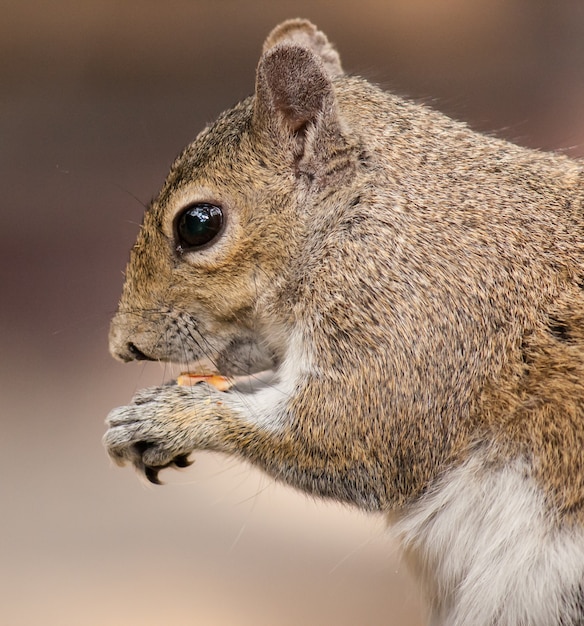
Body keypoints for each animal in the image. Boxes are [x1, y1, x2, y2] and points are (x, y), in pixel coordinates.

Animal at [105, 19, 584, 624]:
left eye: (197, 225)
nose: (122, 346)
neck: (358, 219)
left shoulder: (416, 322)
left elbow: (344, 434)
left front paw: (172, 416)